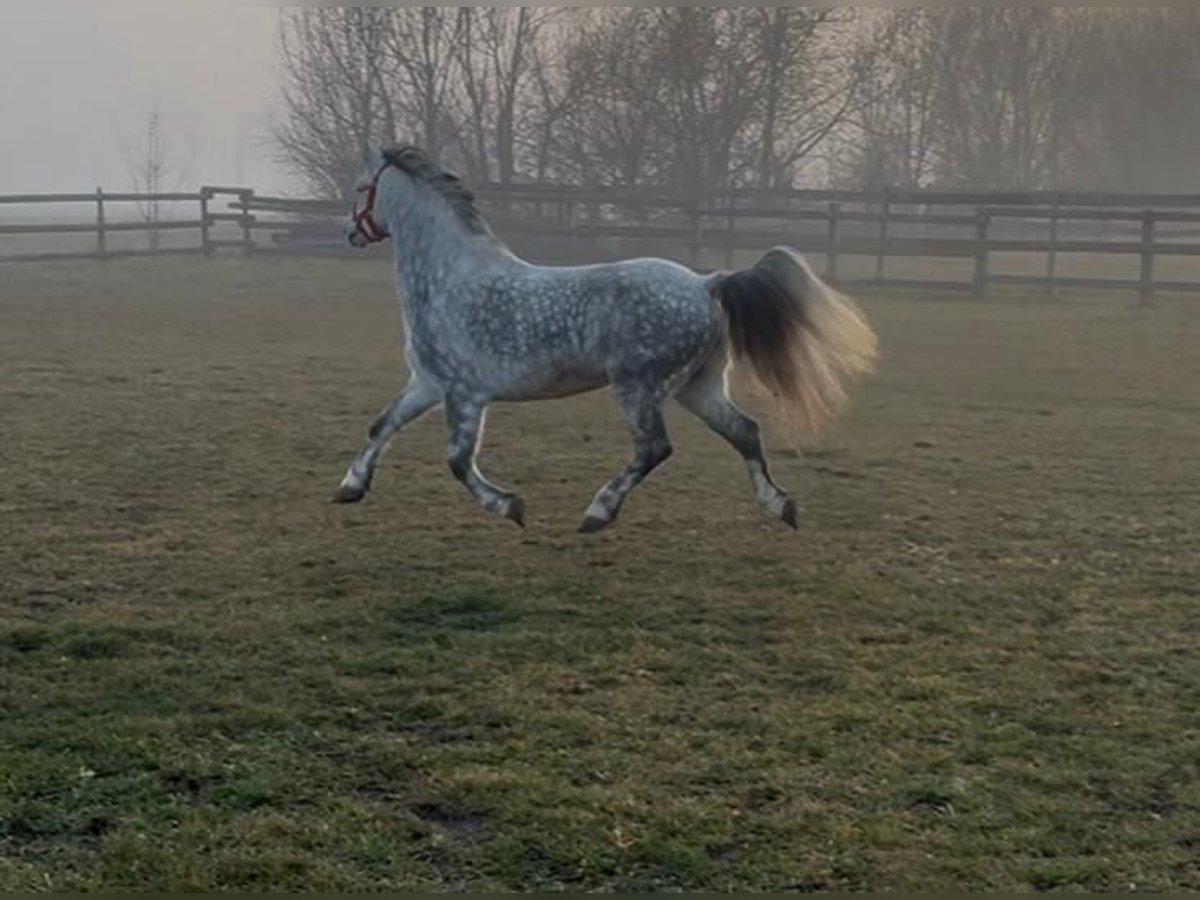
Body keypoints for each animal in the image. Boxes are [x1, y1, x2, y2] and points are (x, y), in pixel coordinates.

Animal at [336, 145, 877, 533]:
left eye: (363, 187)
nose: (350, 234)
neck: (448, 278)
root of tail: (706, 284)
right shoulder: (428, 383)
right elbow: (382, 425)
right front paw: (349, 487)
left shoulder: (465, 393)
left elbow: (457, 461)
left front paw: (510, 506)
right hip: (696, 386)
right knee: (744, 430)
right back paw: (778, 505)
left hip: (637, 387)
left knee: (654, 448)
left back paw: (598, 512)